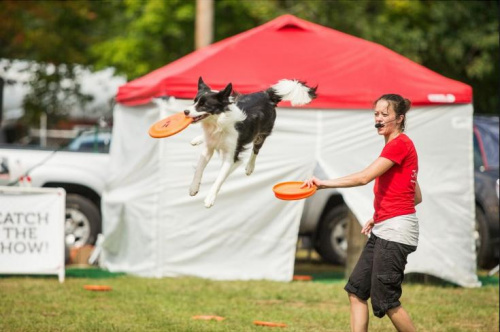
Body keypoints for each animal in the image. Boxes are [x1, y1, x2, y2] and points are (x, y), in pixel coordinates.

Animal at [184, 78, 316, 208]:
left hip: (261, 134)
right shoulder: (208, 148)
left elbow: (220, 177)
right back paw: (198, 138)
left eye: (203, 105)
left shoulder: (231, 155)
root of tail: (267, 95)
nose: (185, 111)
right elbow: (199, 169)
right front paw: (194, 187)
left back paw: (250, 166)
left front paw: (210, 198)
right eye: (194, 101)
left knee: (256, 150)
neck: (218, 123)